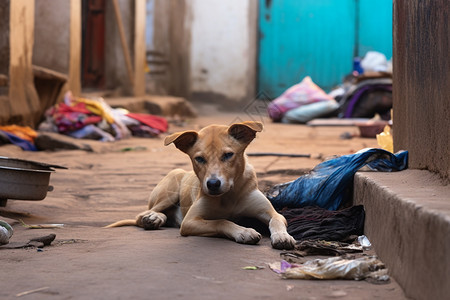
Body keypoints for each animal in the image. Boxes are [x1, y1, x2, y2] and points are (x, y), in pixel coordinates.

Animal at [105, 120, 296, 250]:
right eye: (199, 158)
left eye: (228, 155)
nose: (213, 184)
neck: (228, 196)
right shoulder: (190, 221)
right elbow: (221, 221)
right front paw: (244, 231)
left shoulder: (270, 211)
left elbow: (277, 219)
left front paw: (282, 236)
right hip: (171, 186)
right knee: (143, 214)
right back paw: (153, 218)